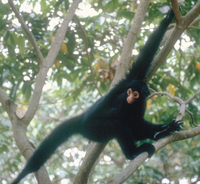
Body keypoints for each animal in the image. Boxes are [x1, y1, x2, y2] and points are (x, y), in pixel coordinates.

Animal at [11, 7, 182, 184]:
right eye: (129, 92)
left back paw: (159, 134)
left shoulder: (135, 90)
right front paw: (168, 18)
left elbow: (143, 64)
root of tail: (80, 119)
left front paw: (165, 129)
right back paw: (132, 153)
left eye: (135, 94)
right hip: (92, 129)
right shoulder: (123, 88)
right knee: (118, 125)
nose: (129, 97)